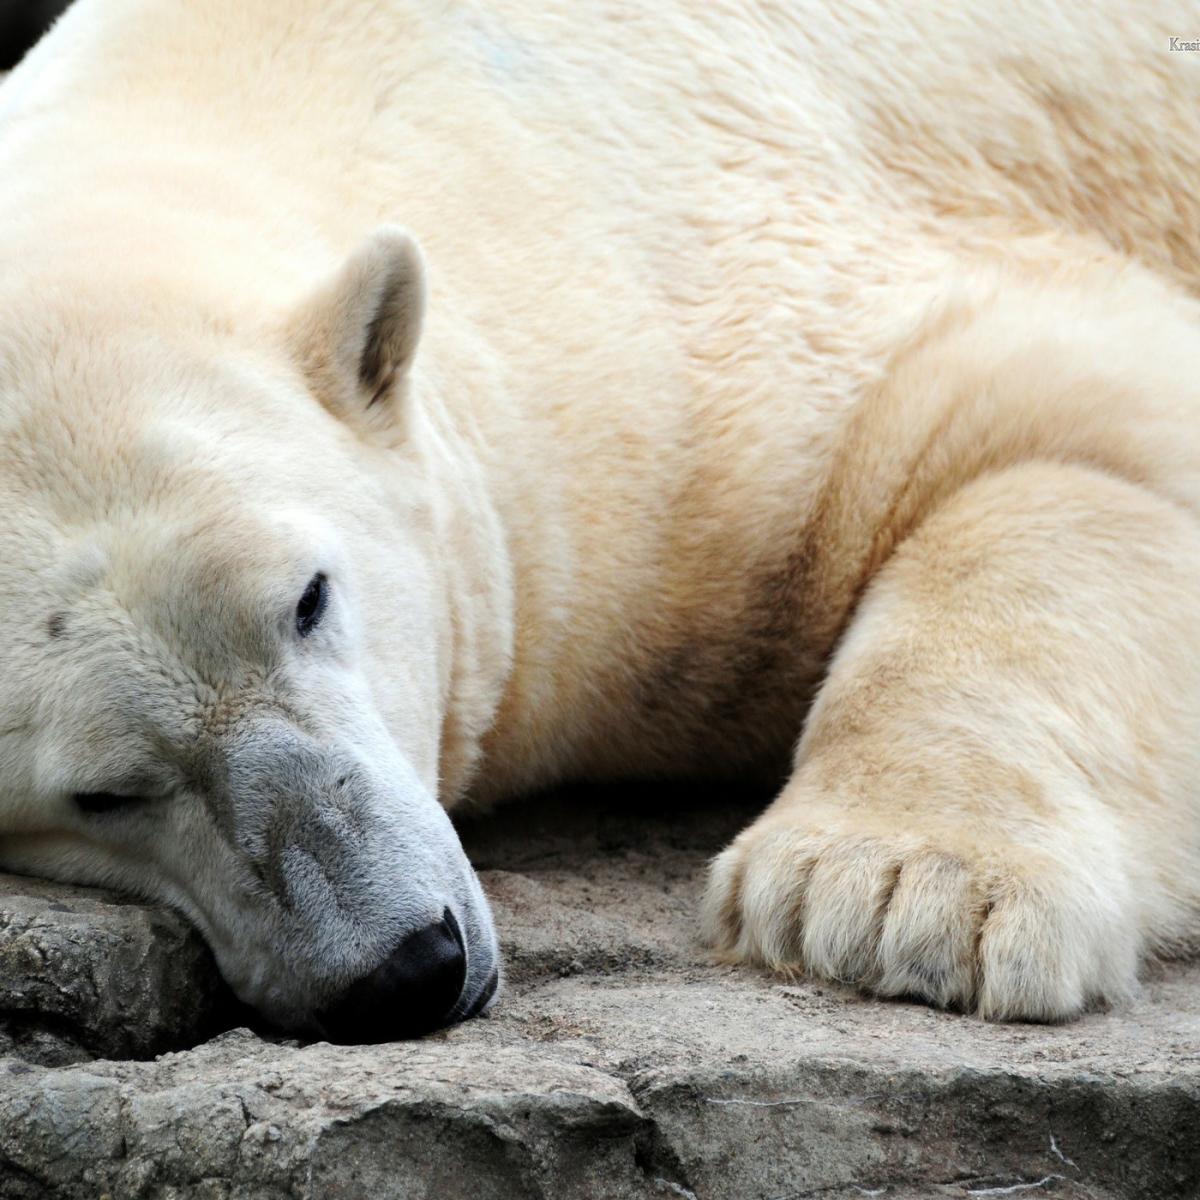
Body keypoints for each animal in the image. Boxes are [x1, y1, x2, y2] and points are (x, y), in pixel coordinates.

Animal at [2, 2, 1200, 1041]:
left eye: (309, 598)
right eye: (102, 796)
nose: (407, 968)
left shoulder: (694, 348)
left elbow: (1069, 416)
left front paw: (890, 896)